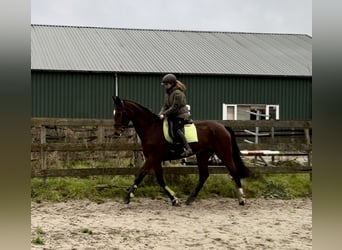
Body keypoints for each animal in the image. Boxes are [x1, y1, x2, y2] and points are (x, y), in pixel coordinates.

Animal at [113, 96, 250, 206]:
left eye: (120, 113)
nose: (116, 133)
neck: (151, 128)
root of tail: (223, 127)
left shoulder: (152, 158)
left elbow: (139, 176)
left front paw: (127, 198)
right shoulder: (155, 159)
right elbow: (160, 180)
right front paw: (174, 199)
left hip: (224, 153)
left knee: (234, 172)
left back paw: (242, 199)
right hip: (202, 155)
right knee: (204, 175)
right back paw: (190, 199)